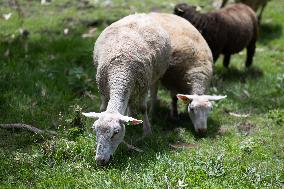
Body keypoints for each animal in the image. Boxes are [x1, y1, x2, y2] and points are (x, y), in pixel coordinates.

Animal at [82, 13, 171, 165]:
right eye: (94, 129)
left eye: (116, 132)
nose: (100, 160)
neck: (119, 70)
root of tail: (140, 14)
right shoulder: (103, 88)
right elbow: (102, 108)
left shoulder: (143, 86)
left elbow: (143, 108)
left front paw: (147, 132)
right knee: (129, 101)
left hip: (155, 75)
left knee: (154, 90)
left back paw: (152, 110)